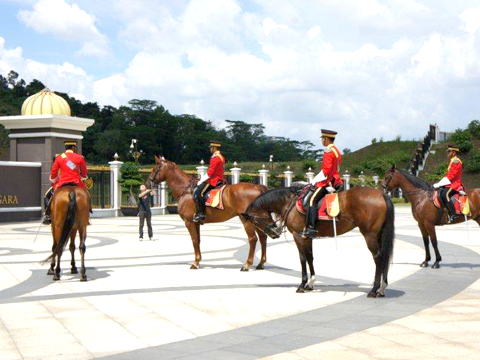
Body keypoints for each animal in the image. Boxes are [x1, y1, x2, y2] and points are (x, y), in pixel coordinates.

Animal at [242, 184, 396, 296]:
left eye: (254, 221)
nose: (274, 233)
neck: (290, 203)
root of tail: (382, 194)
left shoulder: (298, 236)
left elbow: (302, 258)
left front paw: (302, 284)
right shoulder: (306, 237)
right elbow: (310, 257)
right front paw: (310, 283)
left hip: (369, 234)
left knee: (378, 257)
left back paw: (374, 289)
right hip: (379, 234)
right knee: (384, 257)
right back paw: (382, 288)